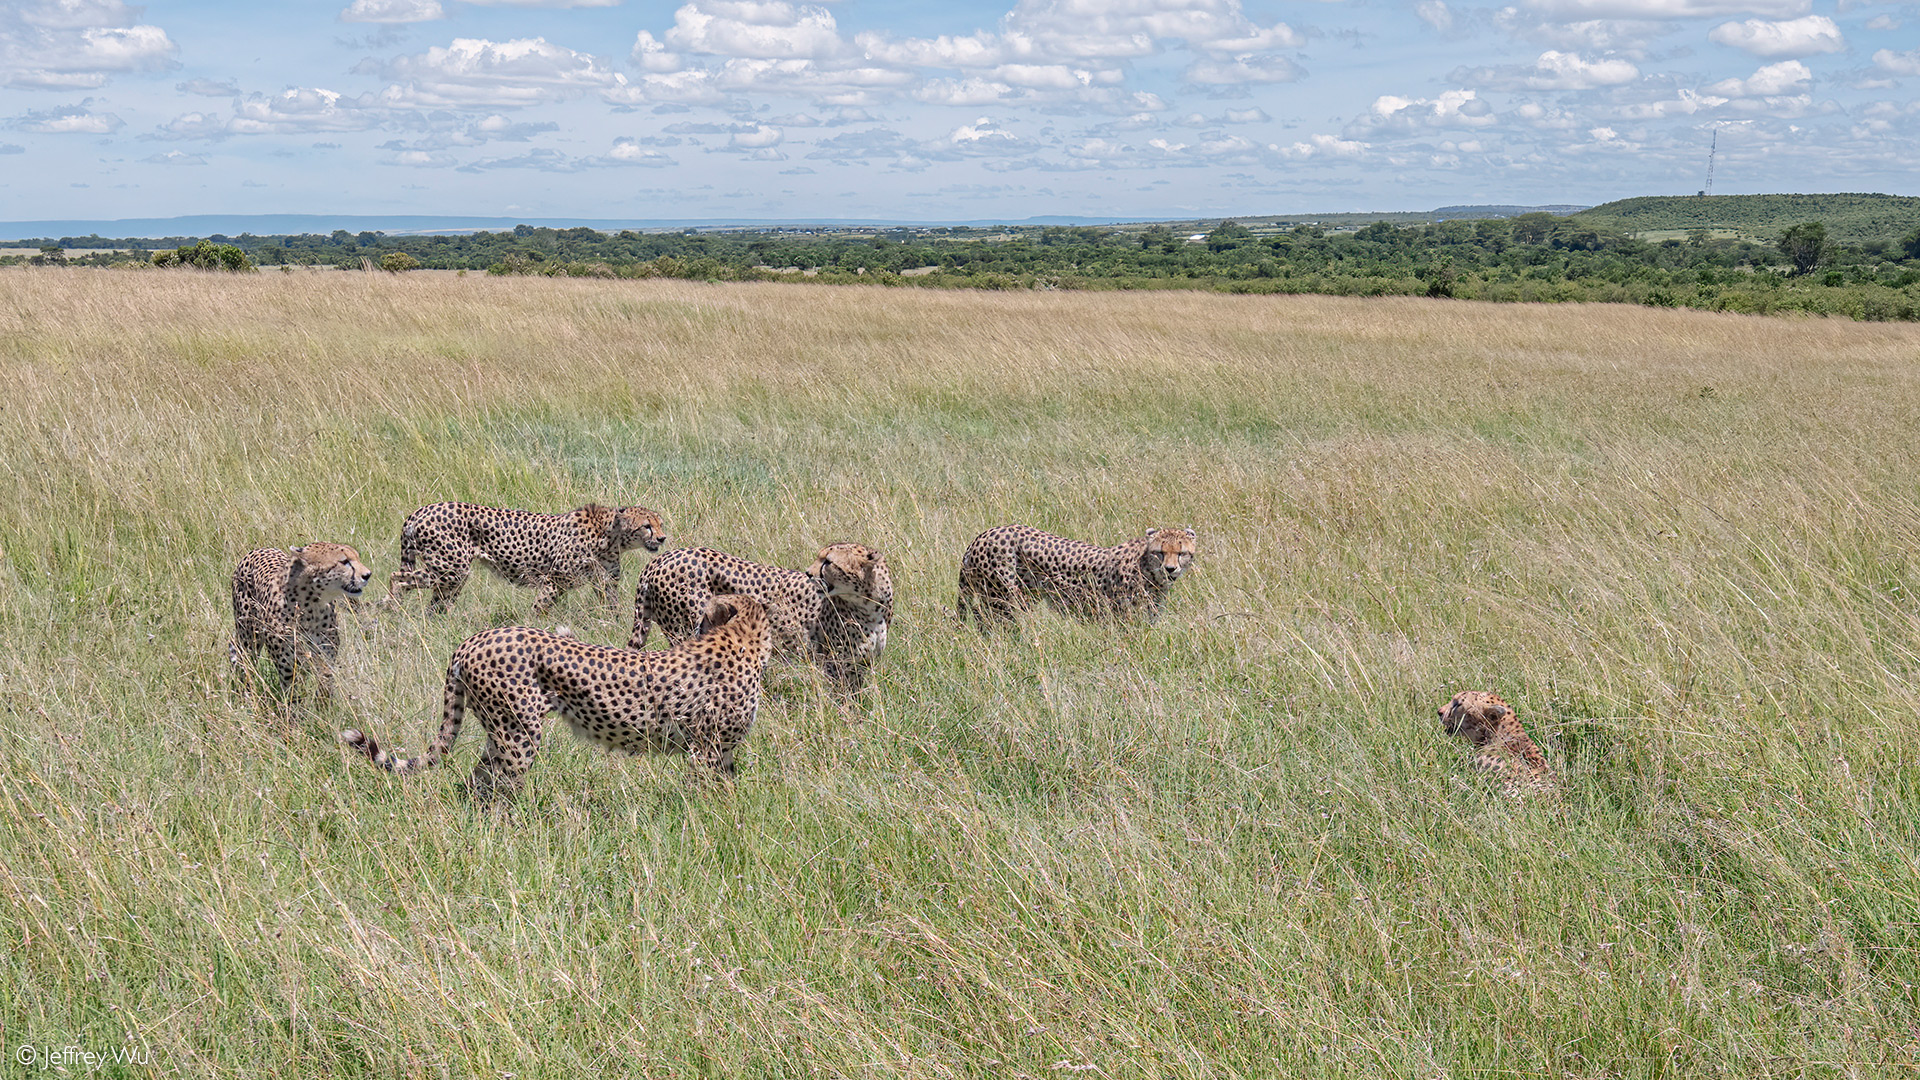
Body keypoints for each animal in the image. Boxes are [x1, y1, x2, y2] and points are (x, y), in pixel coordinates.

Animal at [230, 541, 372, 691]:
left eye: (357, 557)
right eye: (344, 561)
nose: (368, 575)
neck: (312, 605)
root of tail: (259, 549)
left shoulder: (325, 657)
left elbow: (324, 684)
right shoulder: (286, 665)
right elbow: (292, 691)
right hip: (249, 637)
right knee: (243, 658)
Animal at [341, 588, 775, 799]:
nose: (697, 625)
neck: (743, 641)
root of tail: (474, 638)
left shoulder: (723, 749)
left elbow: (728, 787)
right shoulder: (707, 747)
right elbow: (703, 791)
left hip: (500, 730)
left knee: (478, 780)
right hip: (519, 732)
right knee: (499, 785)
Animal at [960, 518, 1198, 622]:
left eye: (1181, 553)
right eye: (1160, 552)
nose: (1170, 569)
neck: (1147, 567)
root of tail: (984, 534)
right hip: (1002, 600)